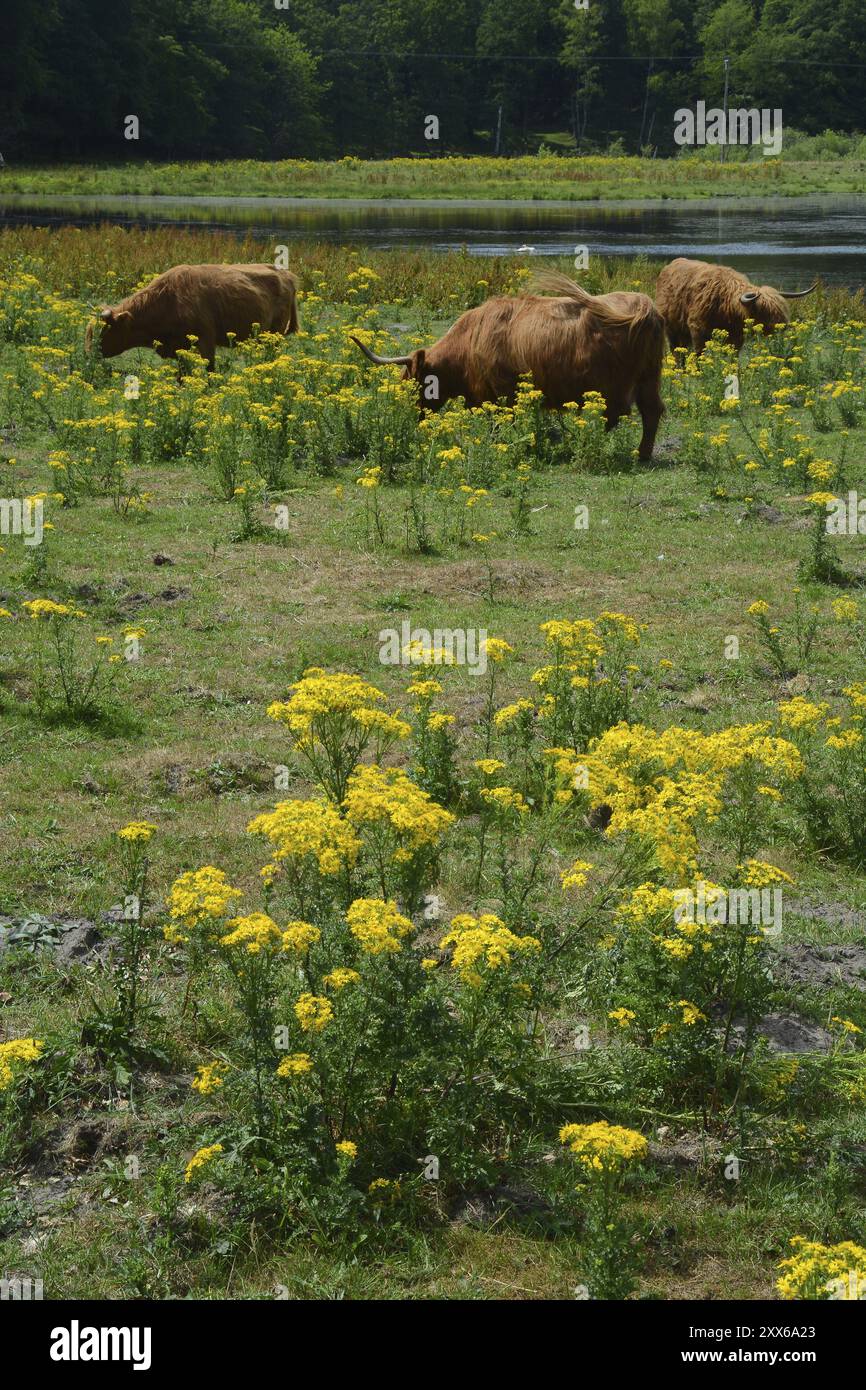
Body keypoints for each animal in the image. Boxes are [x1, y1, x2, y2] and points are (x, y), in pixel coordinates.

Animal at [85, 264, 300, 371]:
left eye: (105, 331)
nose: (87, 354)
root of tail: (286, 275)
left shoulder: (205, 340)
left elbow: (209, 369)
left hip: (274, 335)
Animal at [350, 273, 665, 461]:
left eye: (410, 382)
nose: (403, 417)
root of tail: (645, 306)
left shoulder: (499, 391)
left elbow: (500, 423)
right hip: (649, 378)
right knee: (650, 411)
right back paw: (639, 454)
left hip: (618, 384)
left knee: (623, 415)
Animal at [655, 257, 816, 358]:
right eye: (765, 312)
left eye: (782, 309)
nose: (783, 325)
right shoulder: (697, 329)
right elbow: (699, 354)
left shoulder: (737, 339)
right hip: (671, 329)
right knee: (676, 351)